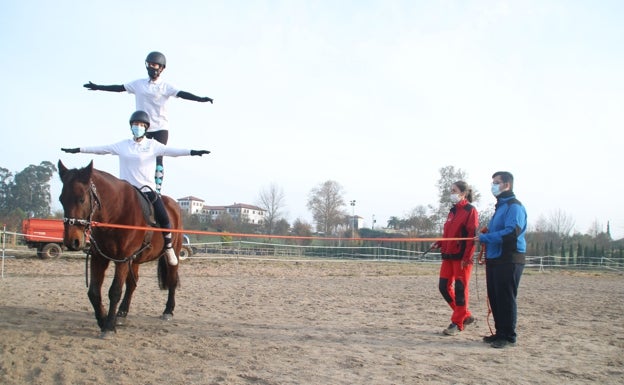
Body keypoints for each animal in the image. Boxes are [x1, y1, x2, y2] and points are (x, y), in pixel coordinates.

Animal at [57, 159, 183, 336]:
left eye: (81, 199)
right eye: (61, 199)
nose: (71, 241)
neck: (115, 214)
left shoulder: (122, 260)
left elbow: (115, 291)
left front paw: (109, 326)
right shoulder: (99, 258)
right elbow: (94, 292)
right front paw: (102, 319)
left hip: (173, 254)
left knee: (172, 280)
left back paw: (168, 311)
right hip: (135, 260)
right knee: (132, 284)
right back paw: (122, 313)